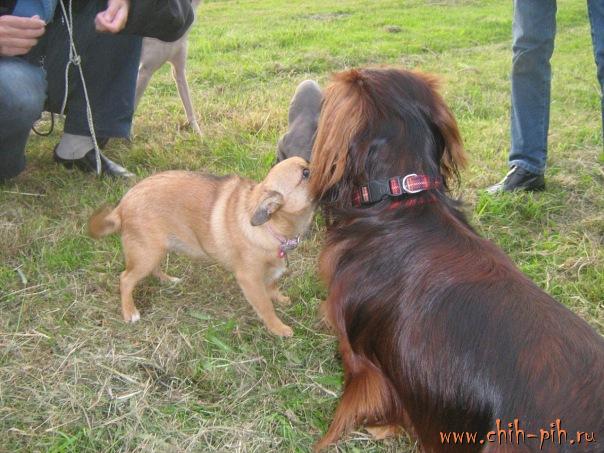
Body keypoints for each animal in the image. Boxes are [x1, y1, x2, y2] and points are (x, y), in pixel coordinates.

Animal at [88, 157, 314, 337]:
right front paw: (278, 328)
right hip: (147, 253)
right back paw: (130, 311)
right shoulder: (250, 280)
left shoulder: (271, 271)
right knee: (126, 279)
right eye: (305, 174)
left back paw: (168, 280)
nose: (317, 163)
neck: (270, 225)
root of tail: (122, 205)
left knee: (153, 269)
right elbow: (265, 306)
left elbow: (273, 286)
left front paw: (279, 298)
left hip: (157, 250)